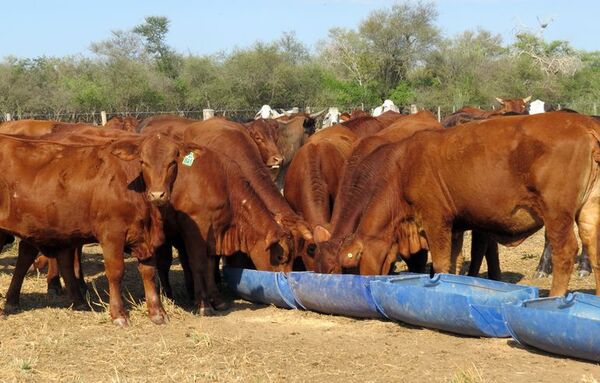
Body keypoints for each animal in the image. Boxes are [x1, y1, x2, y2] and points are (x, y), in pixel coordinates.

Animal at [330, 112, 600, 298]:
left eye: (351, 266)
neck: (404, 170)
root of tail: (585, 125)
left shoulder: (436, 220)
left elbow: (441, 263)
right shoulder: (456, 227)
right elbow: (454, 262)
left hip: (557, 215)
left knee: (565, 251)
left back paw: (554, 298)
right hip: (589, 213)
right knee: (594, 250)